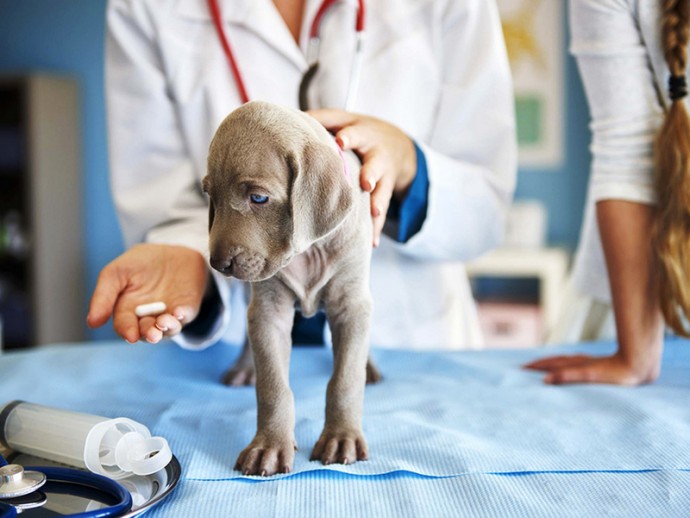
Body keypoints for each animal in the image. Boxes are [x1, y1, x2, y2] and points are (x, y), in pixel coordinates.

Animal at [203, 100, 374, 476]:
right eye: (211, 196)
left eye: (258, 197)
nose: (218, 264)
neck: (308, 250)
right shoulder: (269, 310)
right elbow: (273, 386)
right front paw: (268, 445)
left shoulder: (350, 304)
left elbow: (345, 379)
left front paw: (341, 437)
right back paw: (243, 368)